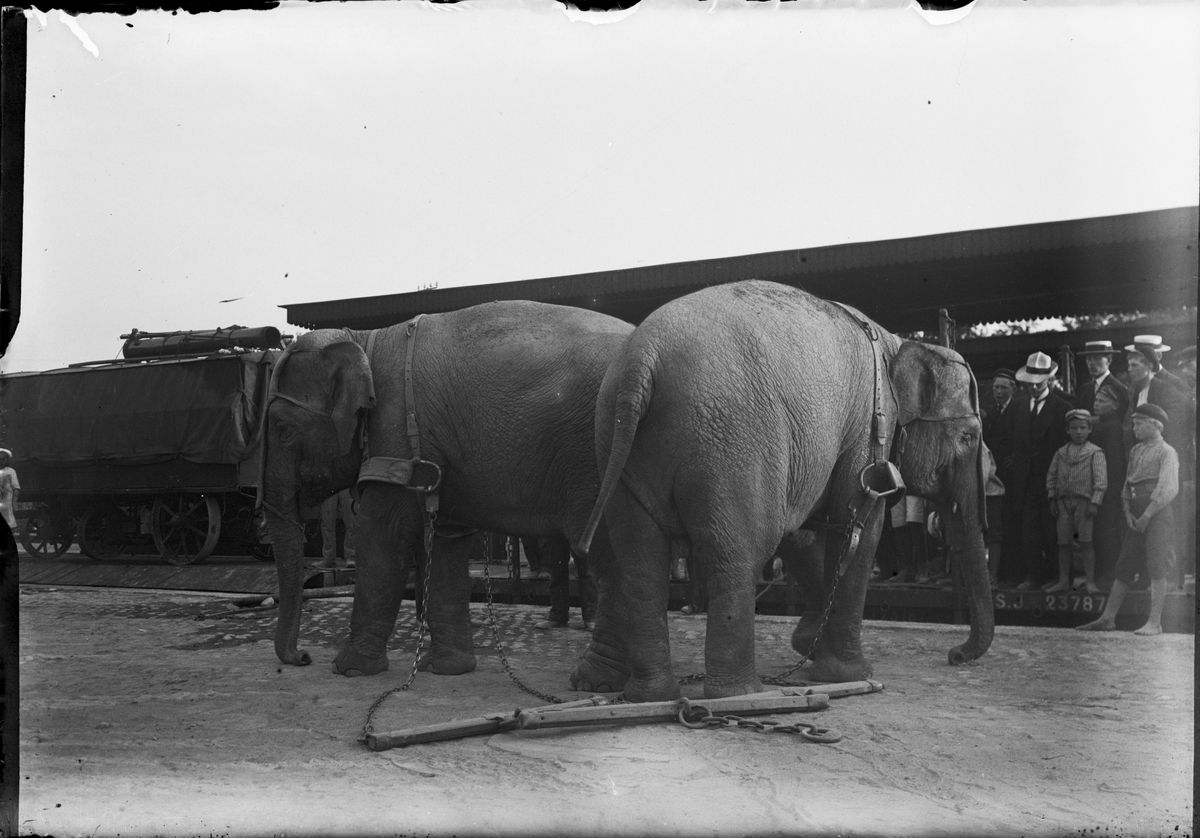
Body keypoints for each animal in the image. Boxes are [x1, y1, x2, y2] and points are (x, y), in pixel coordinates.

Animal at [260, 296, 638, 677]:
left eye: (282, 430)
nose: (303, 657)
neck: (364, 338)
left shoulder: (397, 434)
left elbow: (383, 533)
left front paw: (349, 668)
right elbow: (445, 541)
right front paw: (447, 668)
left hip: (598, 456)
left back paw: (601, 678)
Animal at [571, 278, 993, 696]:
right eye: (969, 438)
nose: (955, 655)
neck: (894, 344)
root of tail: (642, 360)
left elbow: (802, 534)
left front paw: (808, 646)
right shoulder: (871, 426)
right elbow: (857, 524)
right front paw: (850, 675)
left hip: (617, 444)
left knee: (641, 558)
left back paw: (652, 695)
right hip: (734, 442)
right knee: (739, 551)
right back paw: (741, 695)